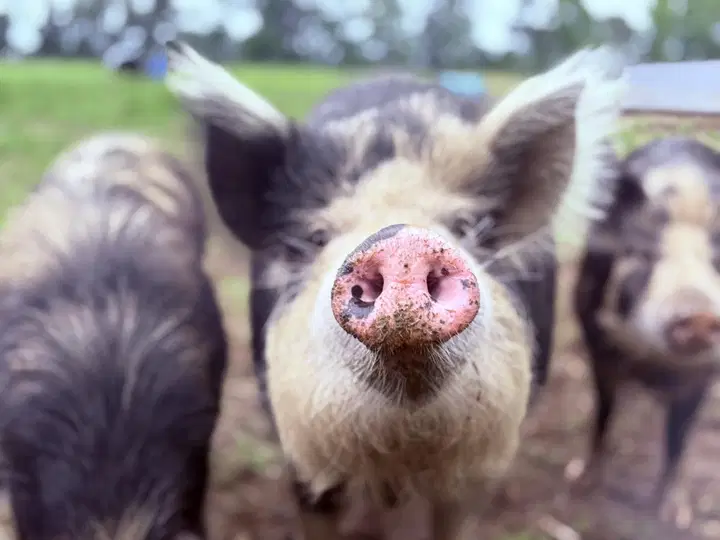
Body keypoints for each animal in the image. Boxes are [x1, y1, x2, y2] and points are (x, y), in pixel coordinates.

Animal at [572, 136, 720, 514]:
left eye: (718, 259)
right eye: (644, 253)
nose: (700, 315)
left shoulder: (701, 376)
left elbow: (678, 439)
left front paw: (674, 513)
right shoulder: (599, 347)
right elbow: (604, 415)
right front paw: (581, 481)